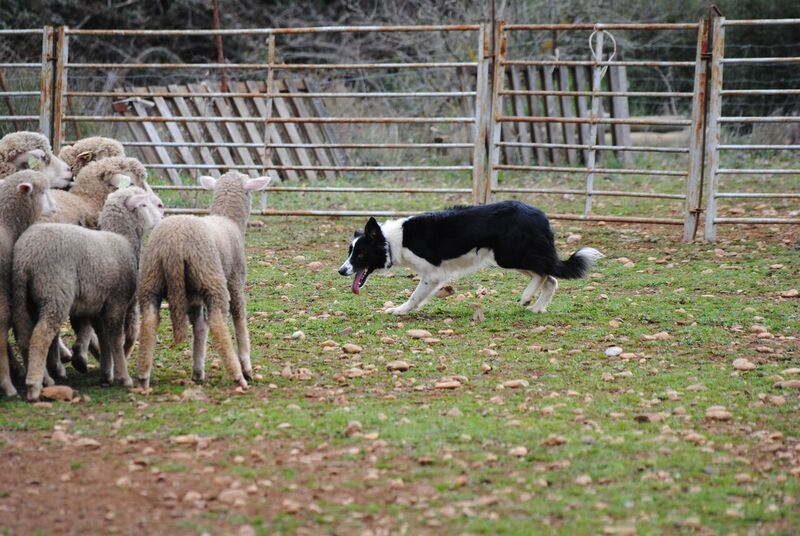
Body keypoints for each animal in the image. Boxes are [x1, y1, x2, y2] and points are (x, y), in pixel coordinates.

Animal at [12, 186, 162, 400]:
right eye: (145, 204)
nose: (162, 209)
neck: (123, 239)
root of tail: (26, 257)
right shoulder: (117, 300)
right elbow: (116, 337)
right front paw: (123, 377)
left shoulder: (100, 305)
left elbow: (104, 337)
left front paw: (107, 374)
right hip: (54, 292)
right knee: (41, 335)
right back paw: (34, 386)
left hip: (22, 296)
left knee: (25, 336)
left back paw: (44, 378)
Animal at [133, 172, 268, 390]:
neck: (228, 219)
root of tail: (174, 244)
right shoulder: (235, 280)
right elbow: (239, 319)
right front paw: (247, 367)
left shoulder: (194, 296)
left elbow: (199, 327)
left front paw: (198, 370)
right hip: (211, 277)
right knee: (218, 323)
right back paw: (238, 376)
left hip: (151, 277)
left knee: (150, 320)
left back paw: (144, 376)